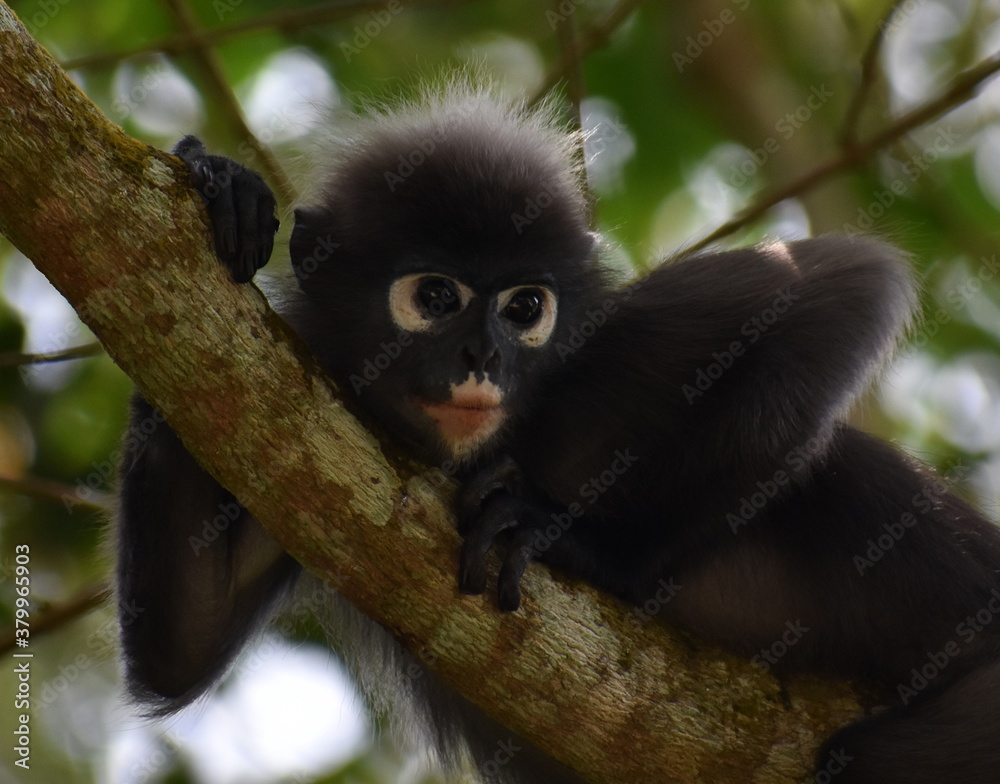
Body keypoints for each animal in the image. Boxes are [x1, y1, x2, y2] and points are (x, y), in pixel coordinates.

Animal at [116, 84, 1000, 784]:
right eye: (434, 297)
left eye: (525, 308)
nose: (482, 358)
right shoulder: (299, 427)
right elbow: (180, 648)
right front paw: (221, 189)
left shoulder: (623, 343)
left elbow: (840, 291)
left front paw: (574, 542)